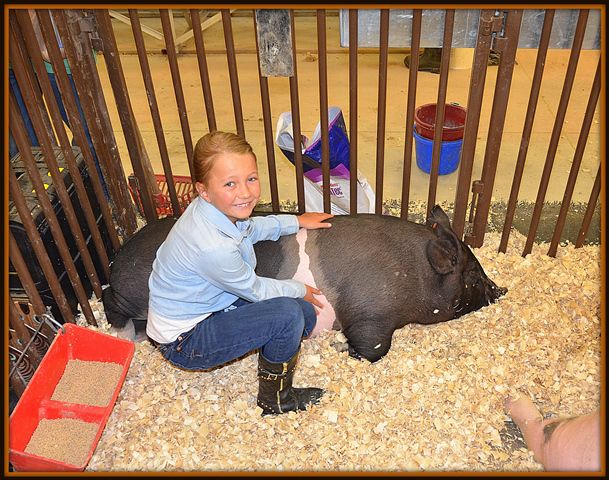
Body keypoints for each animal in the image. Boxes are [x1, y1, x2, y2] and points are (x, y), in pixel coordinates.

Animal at [102, 205, 506, 360]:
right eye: (473, 274)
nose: (501, 289)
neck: (415, 272)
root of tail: (116, 258)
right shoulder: (370, 312)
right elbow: (373, 347)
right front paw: (343, 349)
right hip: (133, 292)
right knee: (111, 302)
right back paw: (128, 334)